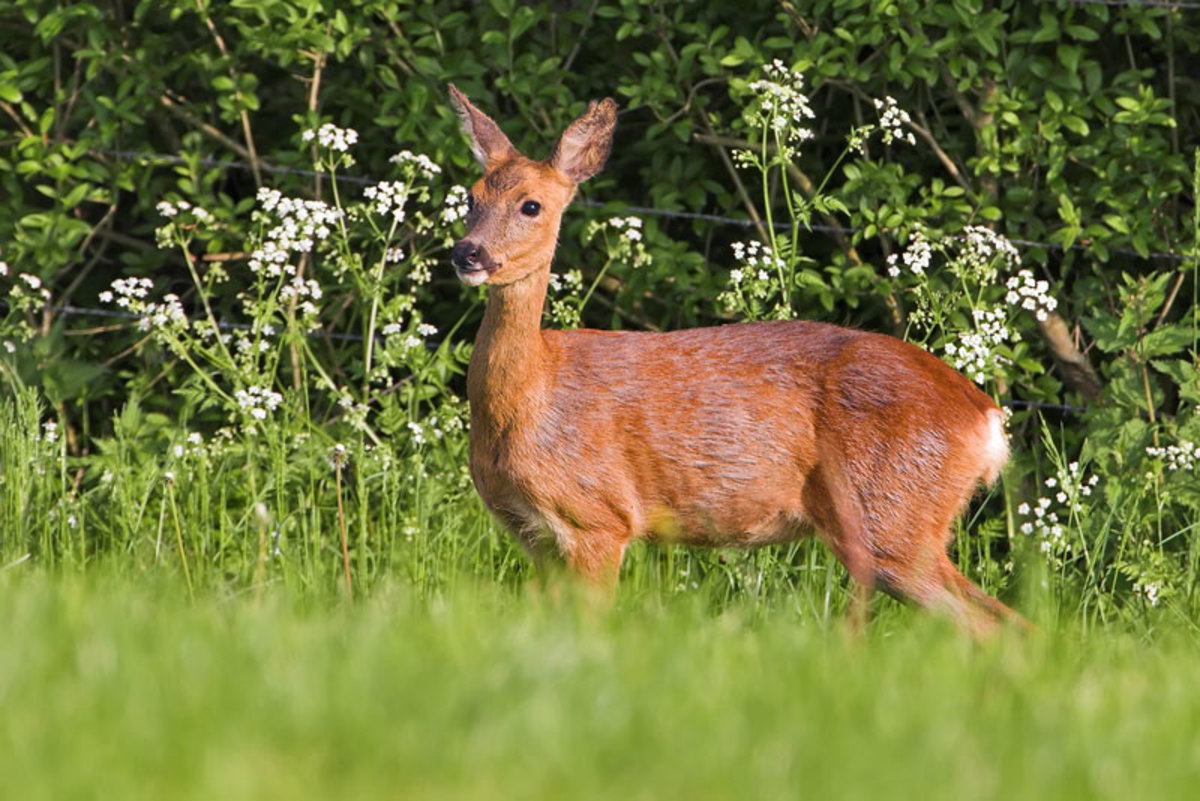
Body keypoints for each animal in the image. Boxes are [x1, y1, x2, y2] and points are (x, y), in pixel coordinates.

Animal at [446, 84, 1027, 633]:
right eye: (471, 198)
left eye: (531, 205)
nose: (467, 252)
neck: (531, 397)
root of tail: (986, 418)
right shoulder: (535, 536)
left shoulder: (599, 517)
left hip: (890, 513)